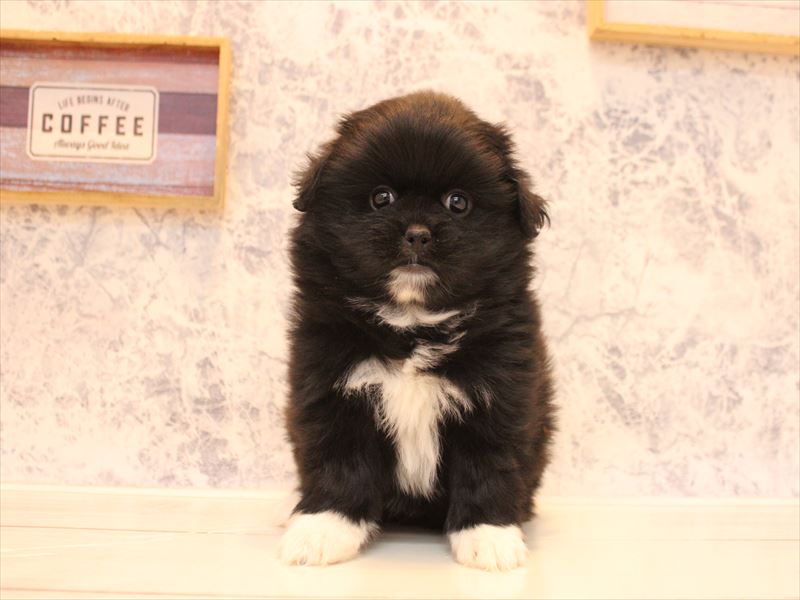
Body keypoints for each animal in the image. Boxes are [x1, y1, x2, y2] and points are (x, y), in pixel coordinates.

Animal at [279, 91, 554, 571]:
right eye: (381, 198)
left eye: (458, 203)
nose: (418, 234)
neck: (411, 325)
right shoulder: (330, 388)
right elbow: (337, 459)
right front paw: (324, 528)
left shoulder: (501, 393)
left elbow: (490, 463)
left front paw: (489, 535)